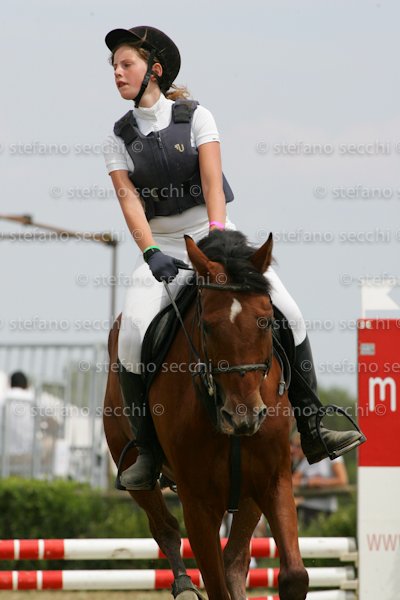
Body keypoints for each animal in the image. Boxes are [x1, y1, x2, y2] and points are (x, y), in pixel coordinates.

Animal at [103, 230, 309, 600]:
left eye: (267, 321)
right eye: (208, 327)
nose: (244, 417)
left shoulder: (274, 481)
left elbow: (294, 576)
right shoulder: (198, 503)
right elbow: (213, 584)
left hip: (247, 494)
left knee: (235, 558)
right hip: (131, 466)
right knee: (166, 528)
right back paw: (184, 586)